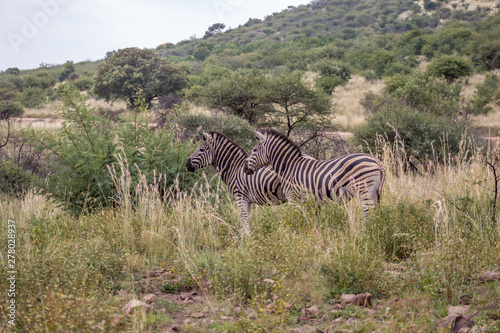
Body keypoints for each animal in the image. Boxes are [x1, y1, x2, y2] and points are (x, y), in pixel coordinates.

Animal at [245, 127, 386, 215]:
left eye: (254, 151)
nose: (245, 168)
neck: (288, 166)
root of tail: (376, 161)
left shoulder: (293, 197)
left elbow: (296, 219)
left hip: (364, 190)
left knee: (369, 212)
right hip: (375, 192)